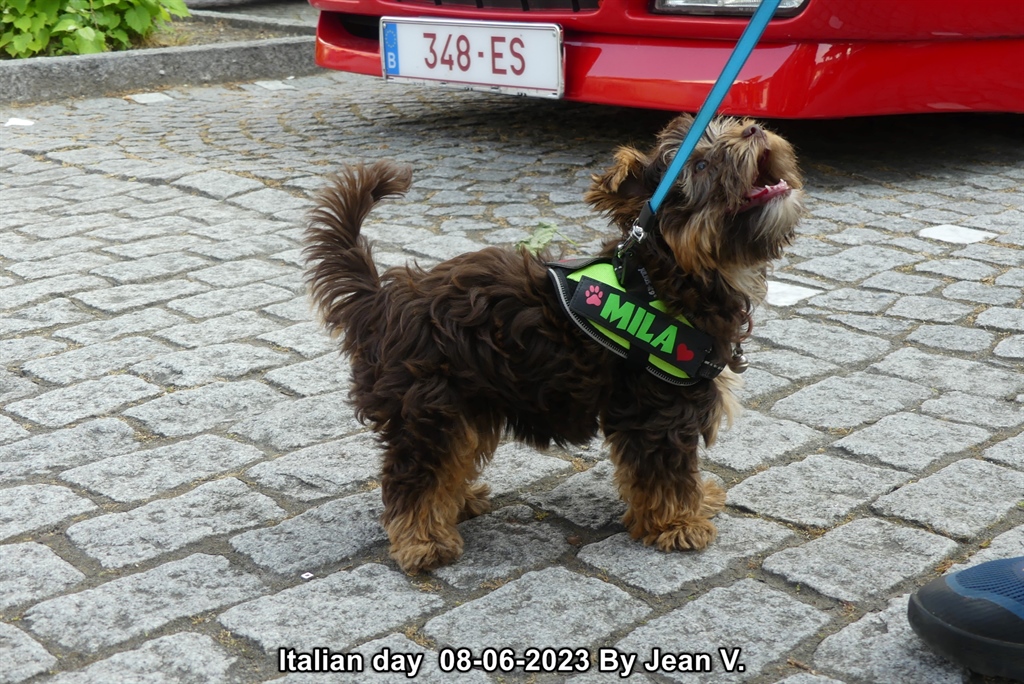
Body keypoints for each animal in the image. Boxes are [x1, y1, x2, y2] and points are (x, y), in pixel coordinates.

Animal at [304, 114, 803, 574]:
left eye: (732, 126)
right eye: (699, 165)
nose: (755, 130)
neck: (670, 275)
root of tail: (382, 301)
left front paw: (696, 504)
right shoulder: (658, 411)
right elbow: (665, 474)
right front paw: (679, 524)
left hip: (464, 403)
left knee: (448, 462)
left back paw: (457, 502)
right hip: (428, 406)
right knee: (413, 475)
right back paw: (423, 542)